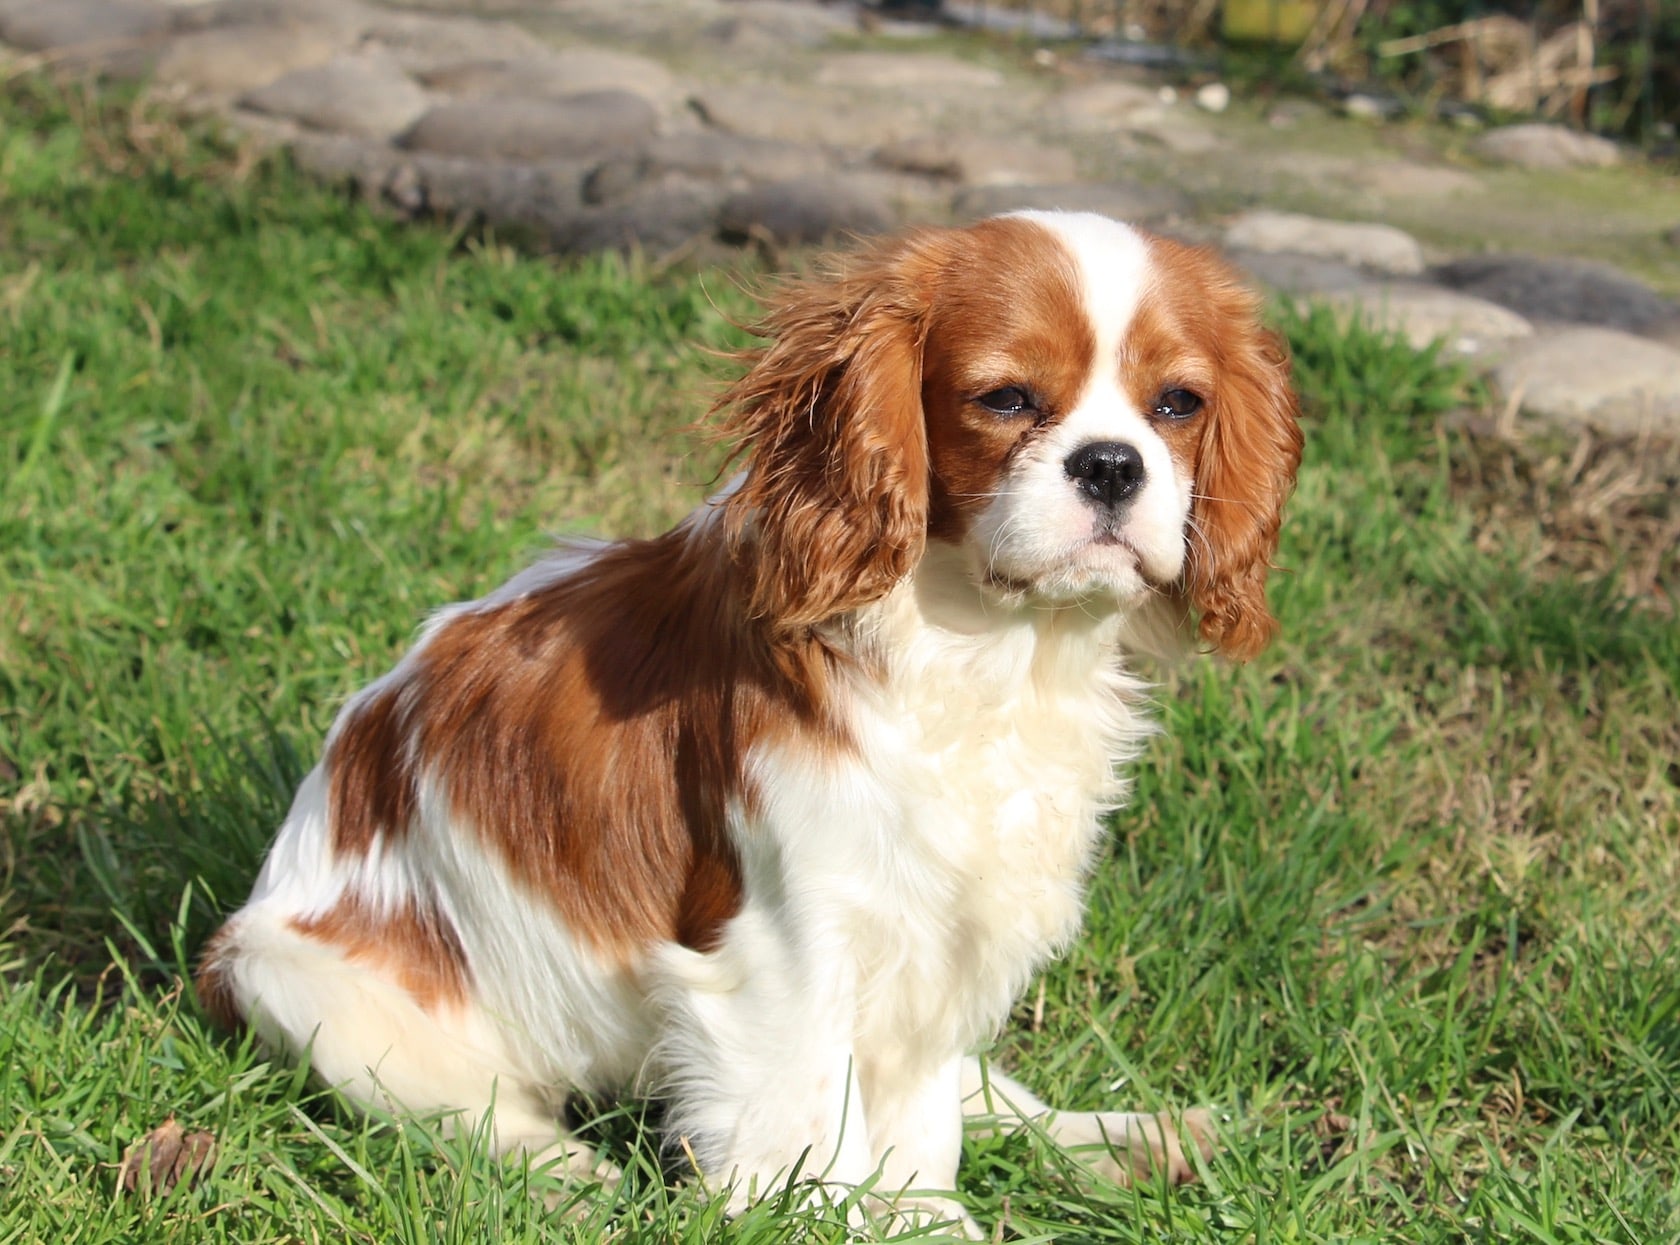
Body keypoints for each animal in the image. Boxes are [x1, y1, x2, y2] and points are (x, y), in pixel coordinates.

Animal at [197, 211, 1301, 1233]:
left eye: (1178, 405)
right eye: (1005, 399)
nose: (1113, 464)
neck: (985, 647)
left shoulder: (940, 937)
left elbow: (923, 1118)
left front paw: (924, 1210)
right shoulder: (787, 944)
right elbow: (810, 1132)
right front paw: (860, 1219)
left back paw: (1128, 1140)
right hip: (302, 987)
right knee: (465, 1110)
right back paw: (565, 1179)